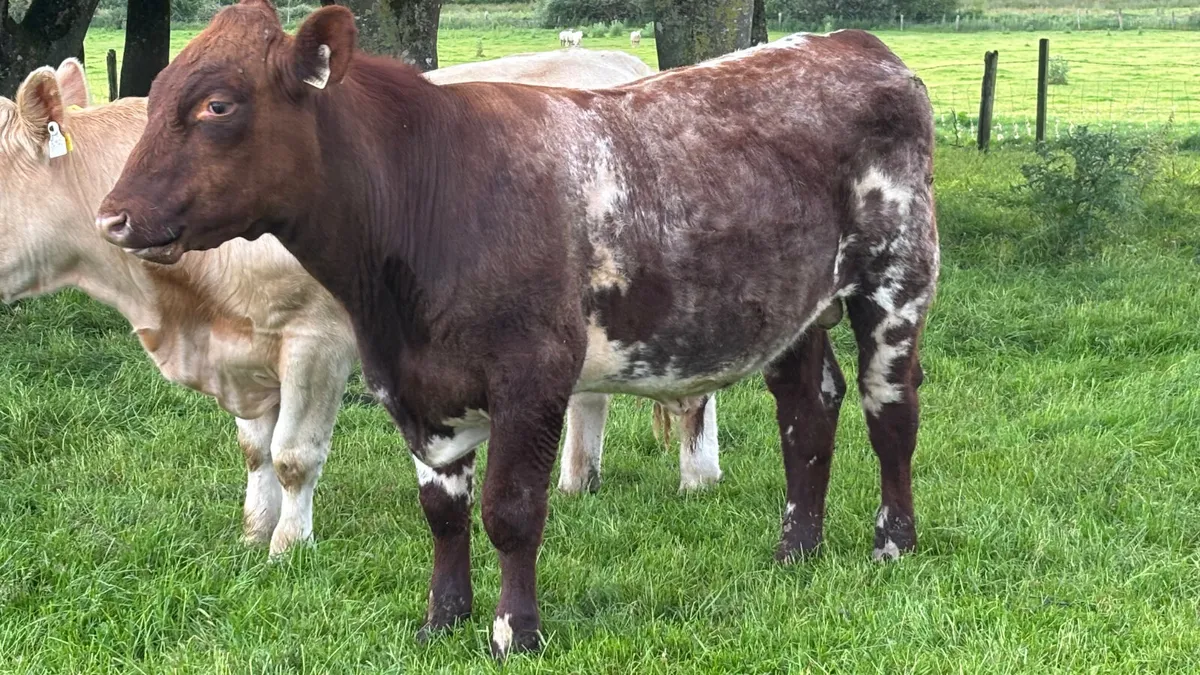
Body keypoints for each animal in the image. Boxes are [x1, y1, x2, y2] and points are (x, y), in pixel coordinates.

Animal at [0, 50, 703, 559]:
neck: (183, 312)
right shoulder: (244, 349)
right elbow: (255, 450)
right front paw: (253, 533)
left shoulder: (315, 341)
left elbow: (293, 455)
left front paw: (288, 547)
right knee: (591, 396)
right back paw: (579, 480)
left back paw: (698, 477)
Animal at [99, 1, 939, 660]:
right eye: (155, 96)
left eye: (217, 106)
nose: (114, 216)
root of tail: (851, 43)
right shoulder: (415, 384)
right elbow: (443, 510)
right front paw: (442, 619)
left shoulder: (533, 374)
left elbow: (510, 509)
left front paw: (514, 630)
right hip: (794, 310)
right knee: (808, 411)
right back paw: (797, 550)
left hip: (898, 283)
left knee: (890, 412)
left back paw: (893, 542)